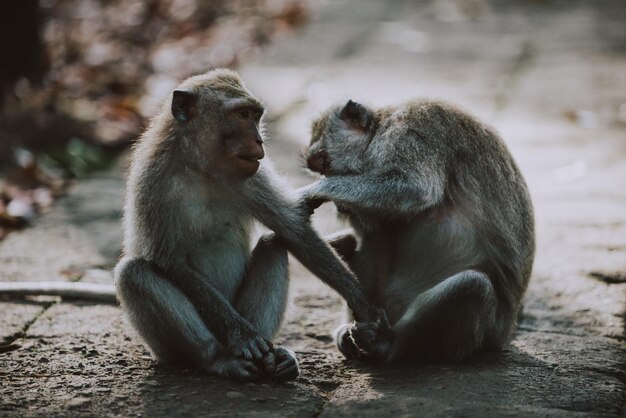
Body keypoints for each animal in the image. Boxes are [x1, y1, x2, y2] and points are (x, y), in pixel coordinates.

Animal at [300, 99, 532, 364]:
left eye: (325, 163)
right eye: (319, 168)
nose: (339, 206)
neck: (380, 128)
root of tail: (505, 334)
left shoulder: (410, 133)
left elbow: (413, 189)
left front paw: (313, 191)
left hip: (485, 333)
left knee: (471, 286)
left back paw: (387, 346)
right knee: (379, 233)